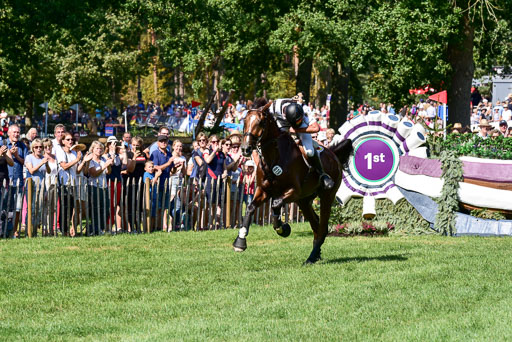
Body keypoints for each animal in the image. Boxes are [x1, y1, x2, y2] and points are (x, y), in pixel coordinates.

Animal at [232, 99, 352, 264]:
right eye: (244, 121)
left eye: (261, 122)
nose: (245, 149)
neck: (273, 157)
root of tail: (333, 154)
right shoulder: (263, 190)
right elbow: (251, 208)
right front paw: (240, 241)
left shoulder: (293, 191)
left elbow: (276, 204)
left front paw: (282, 228)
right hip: (304, 200)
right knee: (316, 225)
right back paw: (315, 255)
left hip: (326, 196)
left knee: (322, 227)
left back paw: (311, 257)